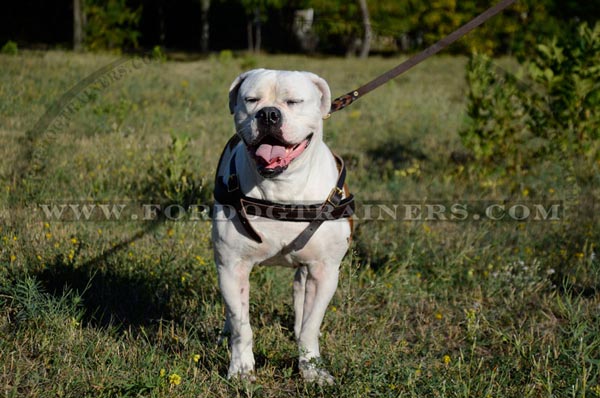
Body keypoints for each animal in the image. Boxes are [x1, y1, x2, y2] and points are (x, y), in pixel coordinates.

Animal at [212, 69, 352, 386]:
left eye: (293, 101)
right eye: (251, 99)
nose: (268, 114)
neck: (282, 186)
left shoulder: (325, 271)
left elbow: (311, 325)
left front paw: (312, 369)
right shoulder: (232, 266)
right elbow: (241, 325)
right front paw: (241, 369)